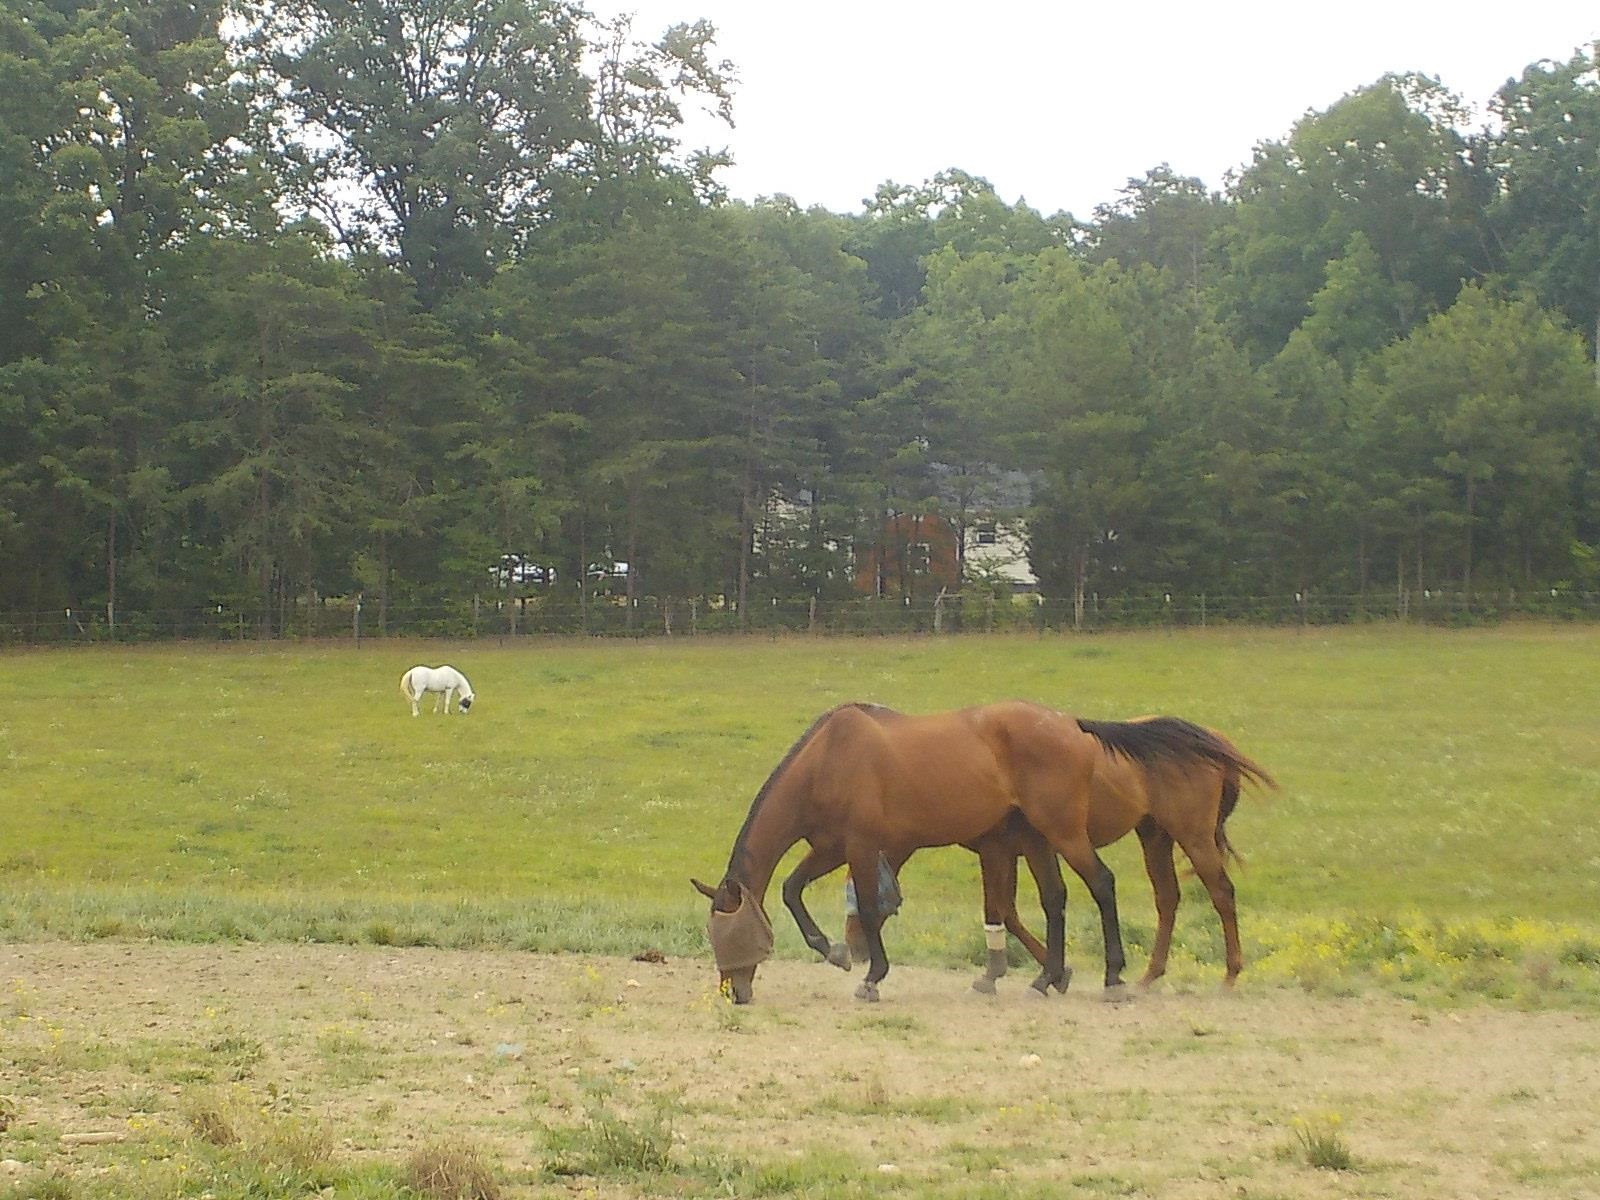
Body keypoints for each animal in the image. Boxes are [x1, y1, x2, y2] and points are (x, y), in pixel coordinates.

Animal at [692, 701, 1273, 1003]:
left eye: (727, 934)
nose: (732, 992)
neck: (830, 759)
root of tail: (1072, 724)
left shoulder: (863, 846)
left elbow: (874, 910)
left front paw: (872, 975)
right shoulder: (833, 847)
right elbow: (793, 890)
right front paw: (832, 949)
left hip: (1082, 833)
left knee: (1113, 885)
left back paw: (1123, 977)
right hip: (1113, 839)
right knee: (1105, 897)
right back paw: (1055, 978)